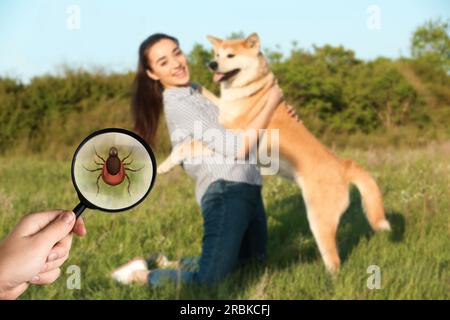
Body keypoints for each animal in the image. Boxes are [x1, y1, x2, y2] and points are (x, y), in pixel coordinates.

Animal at [159, 31, 390, 272]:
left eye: (230, 55)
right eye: (217, 54)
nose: (212, 64)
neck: (251, 90)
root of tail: (343, 165)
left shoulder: (233, 136)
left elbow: (190, 144)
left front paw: (165, 165)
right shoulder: (222, 109)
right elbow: (211, 96)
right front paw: (196, 85)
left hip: (319, 219)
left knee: (333, 260)